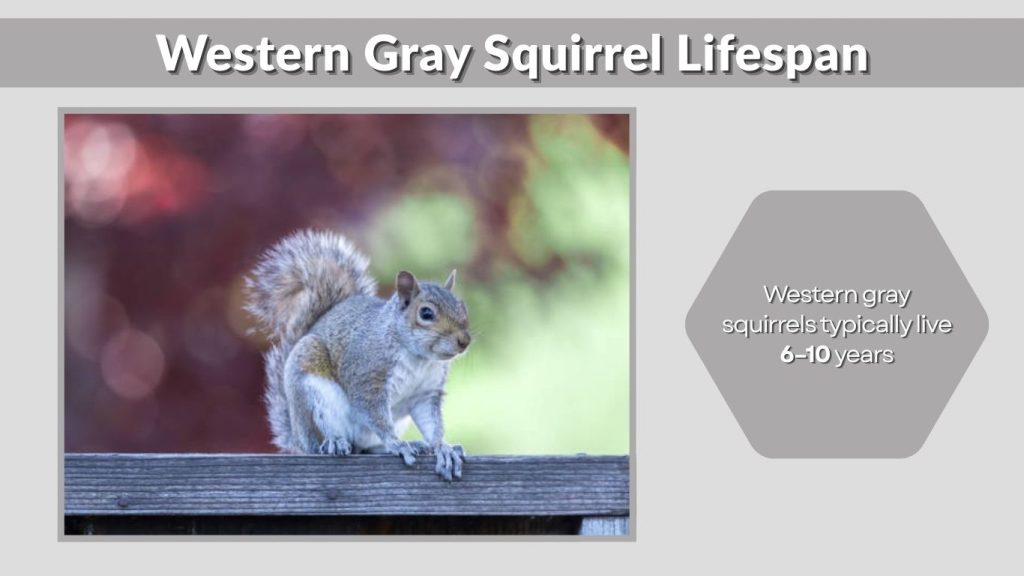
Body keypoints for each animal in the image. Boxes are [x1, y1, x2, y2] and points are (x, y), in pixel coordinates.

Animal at [244, 230, 471, 481]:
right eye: (426, 313)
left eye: (463, 307)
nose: (464, 341)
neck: (418, 358)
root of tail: (297, 435)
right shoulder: (366, 376)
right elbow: (375, 413)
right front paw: (396, 443)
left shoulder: (425, 393)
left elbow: (431, 423)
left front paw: (443, 447)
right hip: (312, 387)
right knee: (323, 439)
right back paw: (334, 442)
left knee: (367, 447)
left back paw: (410, 445)